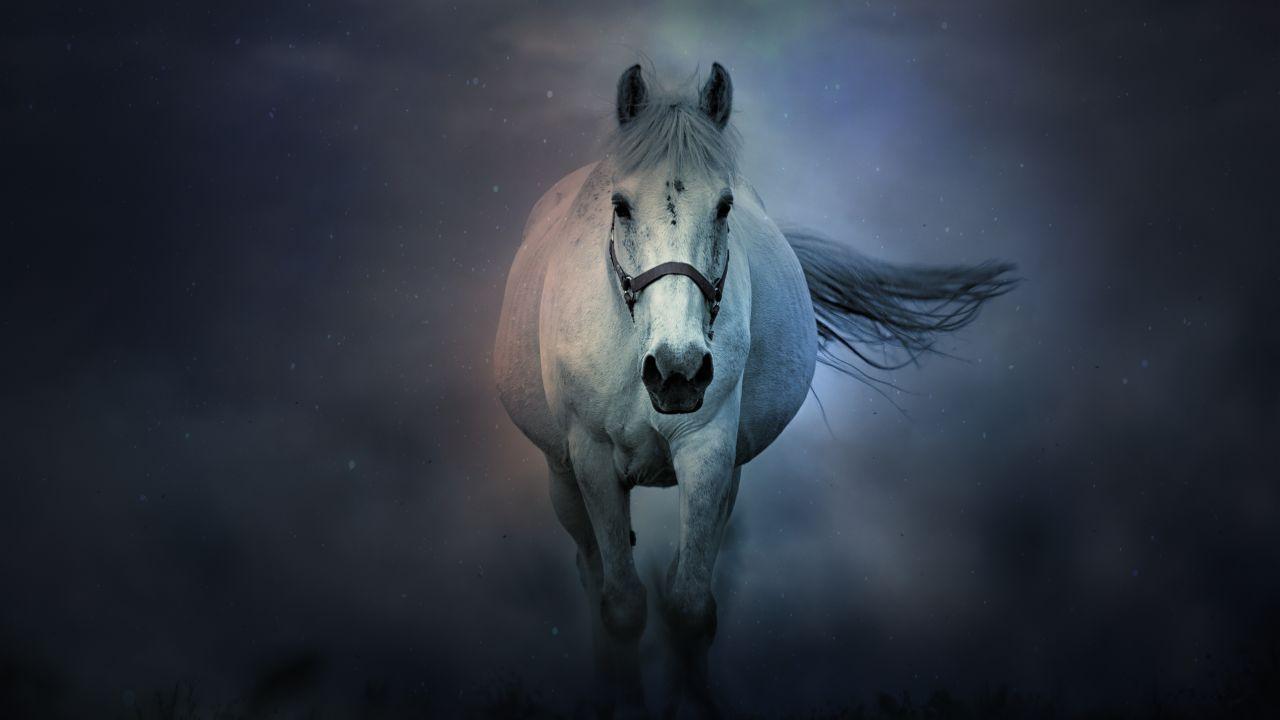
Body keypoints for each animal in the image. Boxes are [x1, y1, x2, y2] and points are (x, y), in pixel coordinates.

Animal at [493, 62, 1015, 718]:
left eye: (724, 206)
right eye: (620, 205)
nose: (677, 372)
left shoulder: (710, 450)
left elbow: (689, 605)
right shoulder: (591, 458)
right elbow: (623, 606)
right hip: (561, 477)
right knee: (593, 575)